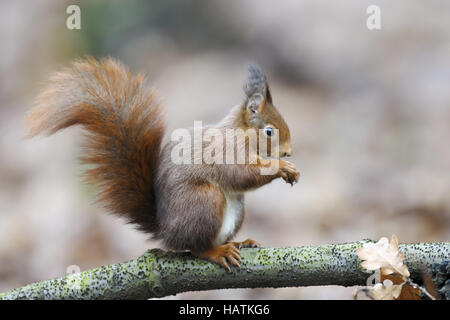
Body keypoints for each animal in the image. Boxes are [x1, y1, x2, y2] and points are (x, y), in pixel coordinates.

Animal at [25, 57, 298, 270]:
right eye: (270, 131)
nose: (288, 152)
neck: (241, 134)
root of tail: (166, 231)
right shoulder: (224, 151)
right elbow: (239, 175)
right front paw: (281, 167)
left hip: (237, 209)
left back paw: (240, 242)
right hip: (205, 201)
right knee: (195, 247)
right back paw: (216, 251)